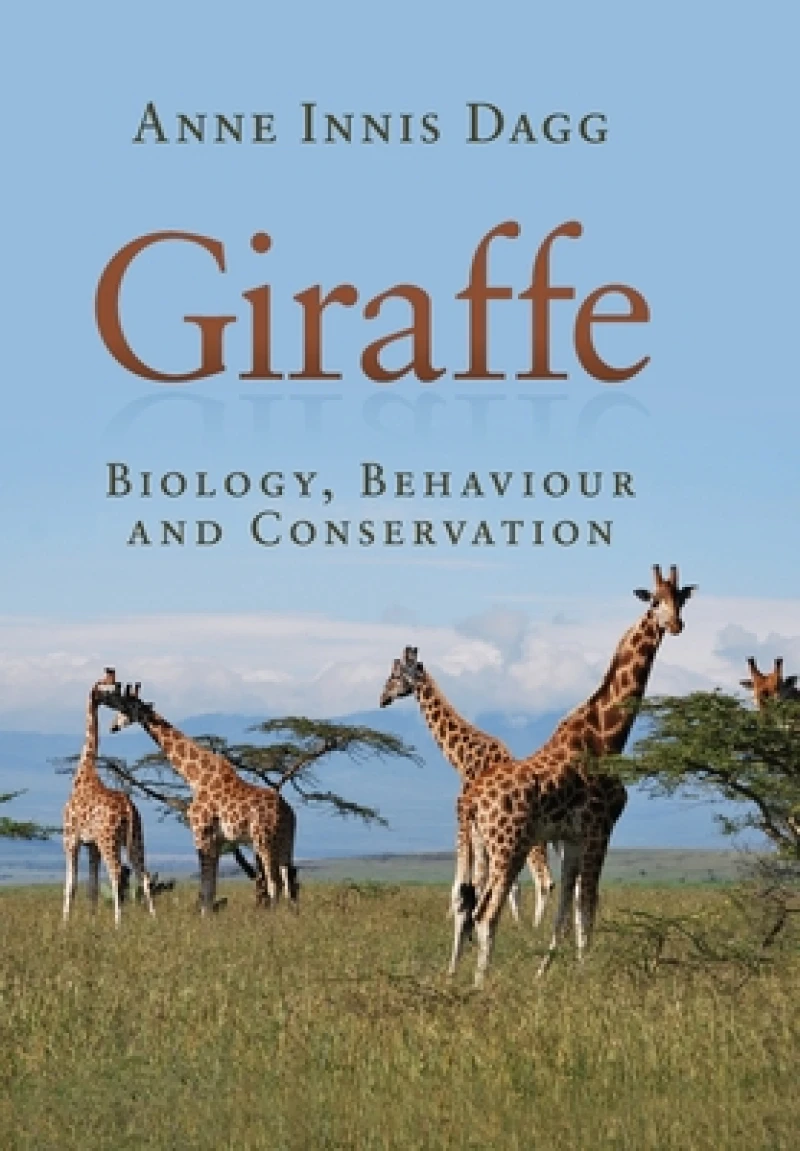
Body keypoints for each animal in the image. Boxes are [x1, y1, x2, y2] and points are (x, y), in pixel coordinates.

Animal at [63, 670, 155, 927]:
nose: (114, 725)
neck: (83, 773)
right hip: (136, 839)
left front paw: (64, 923)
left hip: (108, 839)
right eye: (109, 690)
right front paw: (91, 921)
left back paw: (118, 922)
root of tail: (128, 807)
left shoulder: (71, 838)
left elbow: (71, 885)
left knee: (116, 873)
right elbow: (92, 887)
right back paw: (154, 919)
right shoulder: (91, 844)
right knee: (143, 875)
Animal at [97, 673, 298, 914]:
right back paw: (290, 916)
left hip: (263, 840)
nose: (113, 727)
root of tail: (288, 813)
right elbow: (211, 887)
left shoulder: (201, 832)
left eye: (125, 708)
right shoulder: (218, 840)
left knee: (273, 881)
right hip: (286, 842)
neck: (195, 777)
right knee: (289, 879)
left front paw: (204, 918)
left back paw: (273, 917)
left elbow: (205, 888)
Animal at [379, 647, 554, 926]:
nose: (382, 698)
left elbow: (466, 873)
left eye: (394, 675)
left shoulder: (463, 817)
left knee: (544, 880)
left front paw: (454, 916)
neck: (463, 759)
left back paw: (536, 926)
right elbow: (484, 877)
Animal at [450, 564, 695, 986]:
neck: (606, 737)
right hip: (509, 845)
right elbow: (588, 903)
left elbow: (567, 906)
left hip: (484, 847)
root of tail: (472, 801)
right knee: (485, 913)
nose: (676, 624)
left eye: (680, 598)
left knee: (469, 907)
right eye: (653, 600)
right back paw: (481, 986)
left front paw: (544, 973)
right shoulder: (600, 827)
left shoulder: (573, 836)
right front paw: (585, 973)